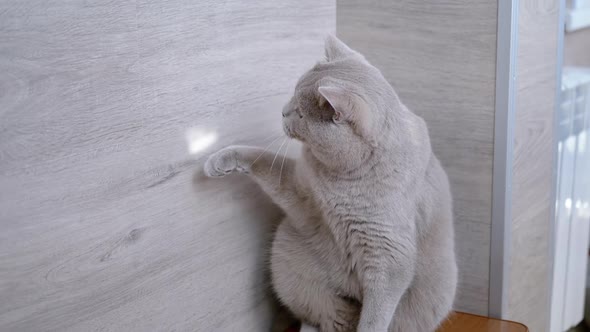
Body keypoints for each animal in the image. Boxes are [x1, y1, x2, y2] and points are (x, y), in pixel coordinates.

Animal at [206, 35, 460, 332]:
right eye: (292, 94)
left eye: (301, 113)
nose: (282, 111)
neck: (343, 179)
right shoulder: (302, 191)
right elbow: (262, 159)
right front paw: (219, 160)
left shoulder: (388, 253)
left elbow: (374, 318)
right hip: (287, 254)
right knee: (324, 316)